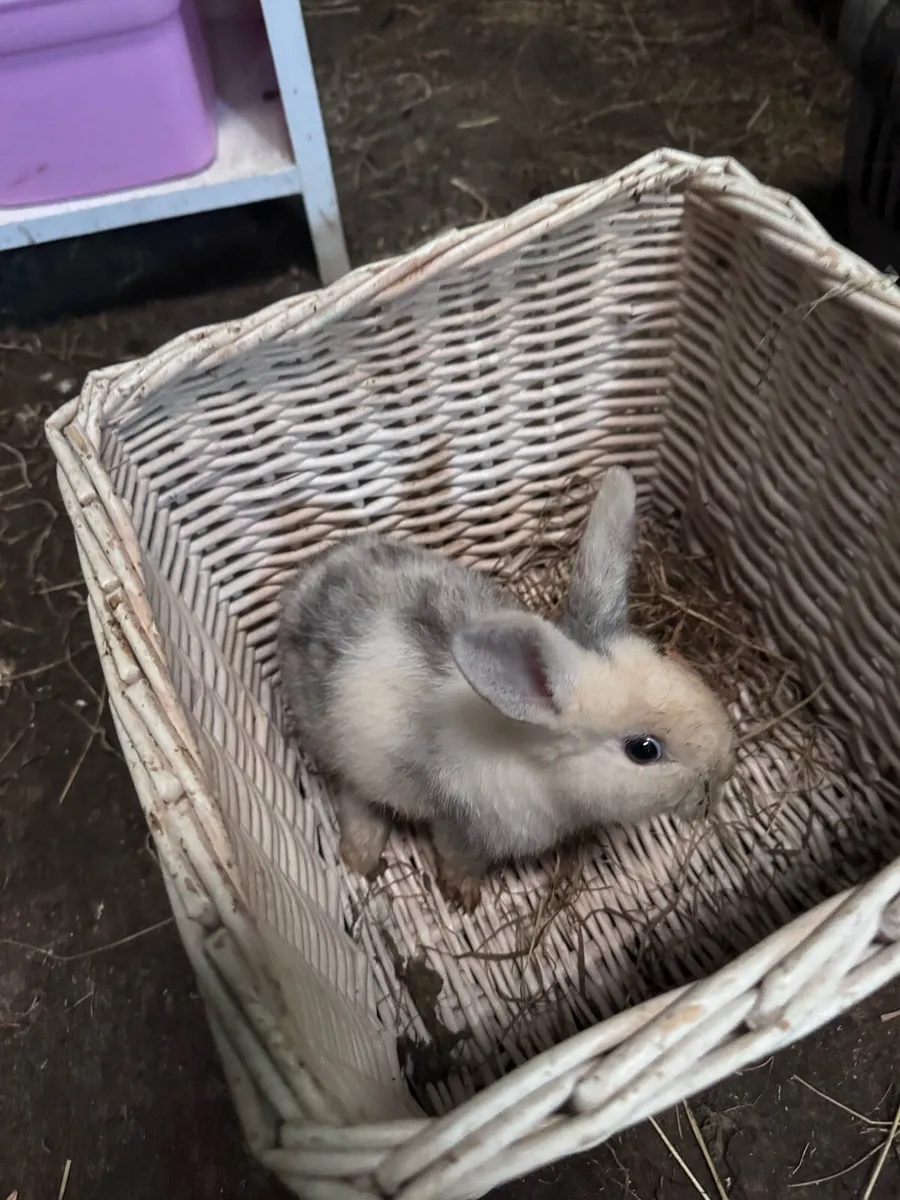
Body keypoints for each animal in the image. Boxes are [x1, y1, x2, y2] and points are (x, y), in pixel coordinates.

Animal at [277, 467, 736, 912]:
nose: (720, 778)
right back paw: (363, 855)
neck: (529, 754)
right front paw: (464, 897)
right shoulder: (461, 828)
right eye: (643, 749)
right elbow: (456, 859)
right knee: (353, 795)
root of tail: (305, 584)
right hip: (344, 749)